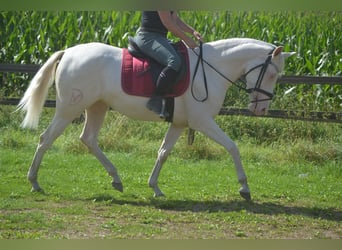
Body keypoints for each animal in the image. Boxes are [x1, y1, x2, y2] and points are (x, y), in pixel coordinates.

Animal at [17, 37, 294, 201]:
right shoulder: (202, 121)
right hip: (69, 109)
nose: (261, 110)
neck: (211, 68)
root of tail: (69, 52)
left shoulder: (180, 124)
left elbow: (163, 152)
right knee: (46, 139)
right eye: (272, 74)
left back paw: (116, 179)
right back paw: (34, 182)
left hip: (97, 107)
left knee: (88, 139)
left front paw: (155, 187)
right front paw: (244, 188)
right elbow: (232, 147)